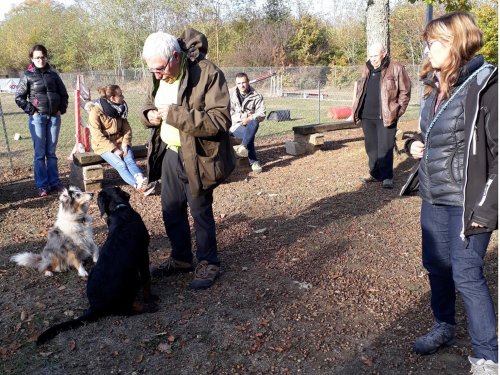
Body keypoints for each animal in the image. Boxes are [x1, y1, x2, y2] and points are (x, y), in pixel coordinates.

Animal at [36, 187, 157, 346]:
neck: (119, 210)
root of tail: (95, 307)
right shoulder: (143, 255)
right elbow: (147, 280)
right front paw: (150, 298)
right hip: (133, 280)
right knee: (126, 311)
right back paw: (147, 308)